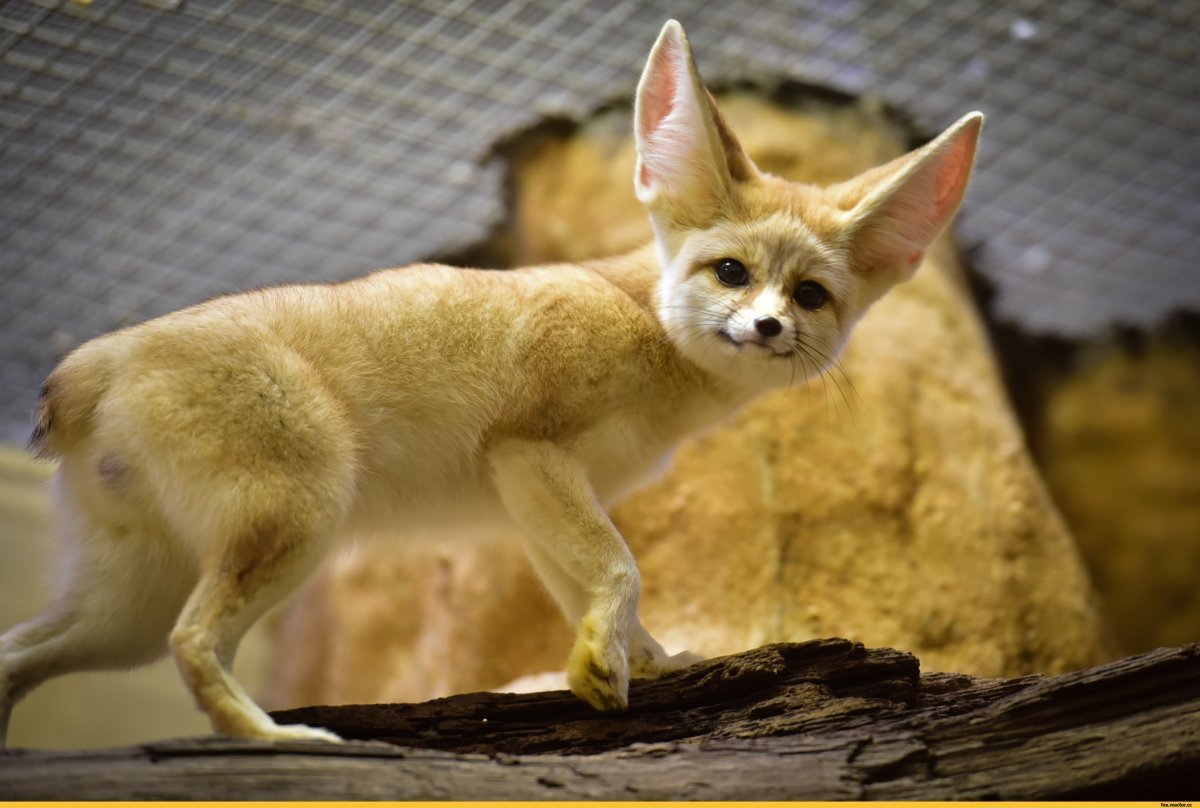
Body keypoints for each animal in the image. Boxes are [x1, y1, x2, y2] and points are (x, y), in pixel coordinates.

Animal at [0, 20, 981, 745]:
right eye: (732, 273)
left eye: (811, 295)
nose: (771, 327)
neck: (644, 326)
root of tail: (97, 360)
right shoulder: (529, 451)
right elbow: (622, 567)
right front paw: (609, 662)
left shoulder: (534, 493)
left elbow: (600, 588)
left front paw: (643, 660)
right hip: (293, 522)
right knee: (193, 644)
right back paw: (273, 738)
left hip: (129, 602)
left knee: (18, 653)